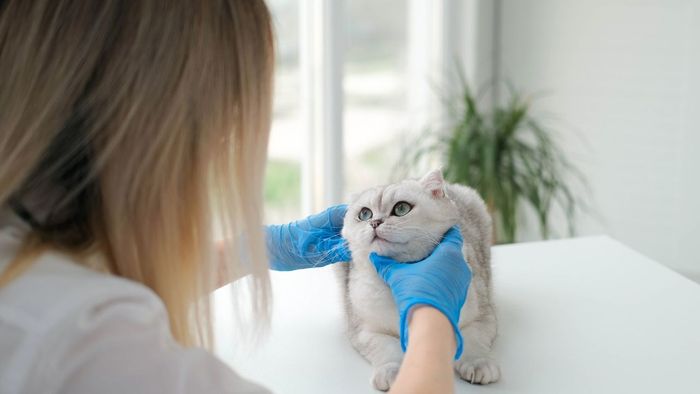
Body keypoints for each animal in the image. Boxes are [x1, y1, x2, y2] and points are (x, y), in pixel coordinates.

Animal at [338, 169, 498, 390]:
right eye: (365, 214)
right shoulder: (365, 330)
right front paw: (393, 372)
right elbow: (387, 348)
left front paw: (477, 363)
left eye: (401, 208)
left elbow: (473, 341)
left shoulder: (482, 317)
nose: (374, 223)